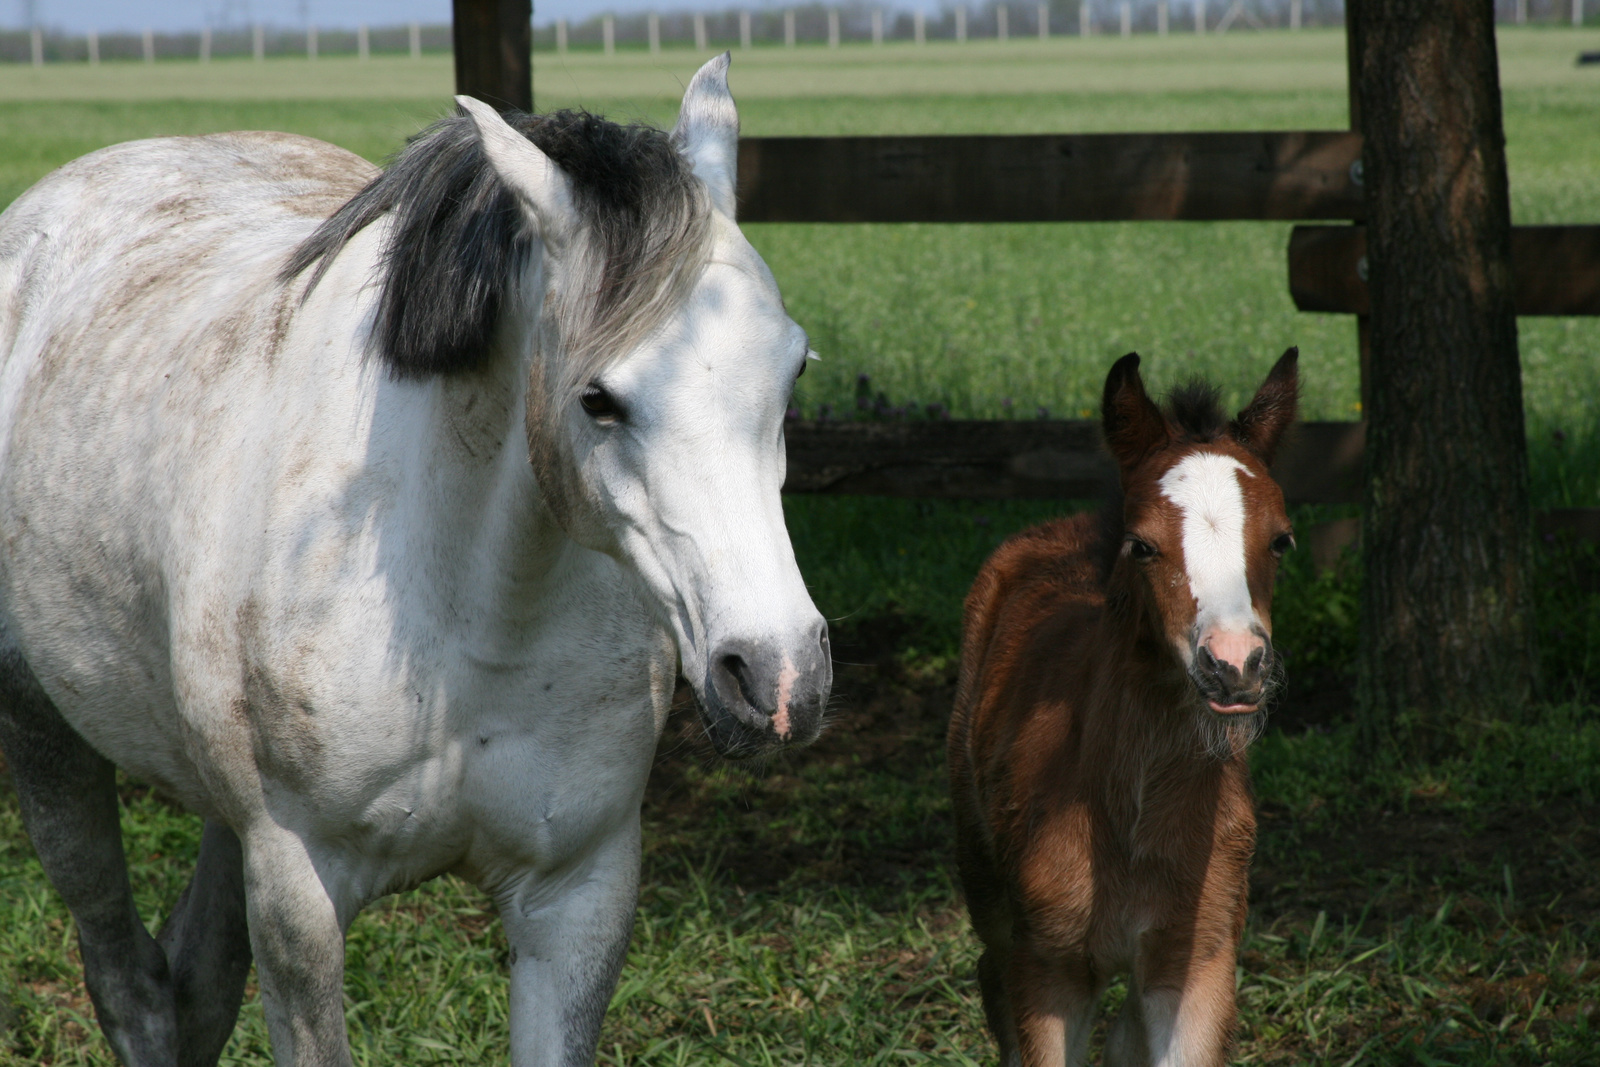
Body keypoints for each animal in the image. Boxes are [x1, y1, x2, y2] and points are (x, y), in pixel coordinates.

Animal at [0, 56, 825, 1067]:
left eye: (793, 368)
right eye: (597, 398)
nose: (778, 676)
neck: (469, 621)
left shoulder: (579, 896)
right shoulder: (300, 897)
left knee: (196, 981)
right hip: (46, 738)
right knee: (132, 987)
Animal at [947, 350, 1299, 1067]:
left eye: (1281, 540)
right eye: (1142, 544)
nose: (1235, 665)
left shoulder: (1195, 958)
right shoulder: (1048, 966)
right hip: (984, 877)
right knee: (990, 972)